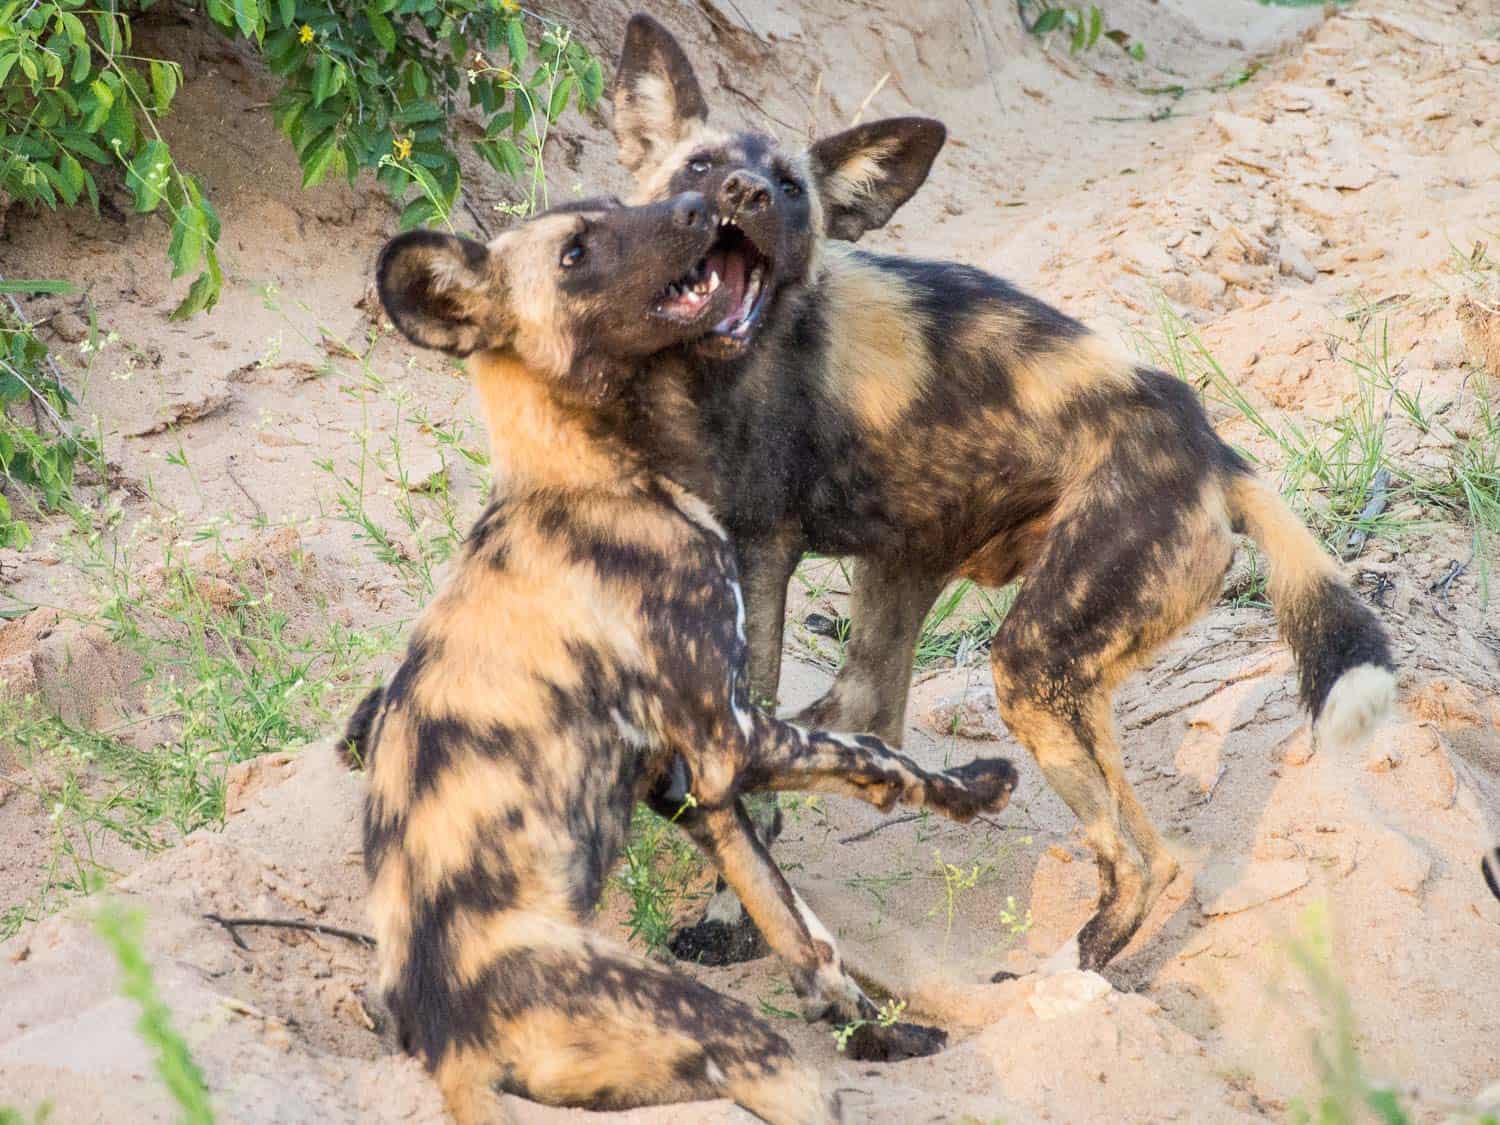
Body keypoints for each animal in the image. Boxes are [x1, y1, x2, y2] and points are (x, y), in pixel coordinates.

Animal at [348, 196, 1020, 1125]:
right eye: (576, 252)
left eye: (611, 206)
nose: (700, 204)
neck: (597, 477)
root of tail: (452, 1043)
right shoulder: (729, 737)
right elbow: (875, 753)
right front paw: (975, 785)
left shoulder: (688, 782)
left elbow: (794, 925)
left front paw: (874, 1033)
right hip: (739, 1041)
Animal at [606, 11, 1392, 978]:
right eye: (700, 168)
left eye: (789, 189)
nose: (746, 193)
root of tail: (1210, 447)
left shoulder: (760, 552)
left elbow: (738, 757)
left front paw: (729, 915)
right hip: (935, 586)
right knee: (894, 718)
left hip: (1032, 663)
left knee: (1134, 856)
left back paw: (1069, 975)